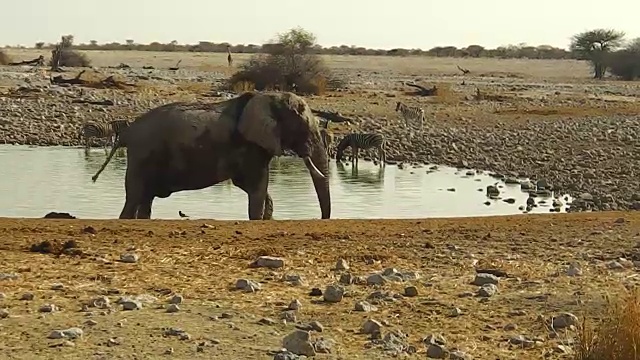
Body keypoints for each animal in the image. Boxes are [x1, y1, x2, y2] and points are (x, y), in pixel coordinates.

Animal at [92, 90, 332, 221]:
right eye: (303, 127)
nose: (321, 219)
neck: (268, 96)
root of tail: (127, 133)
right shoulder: (250, 145)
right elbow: (257, 185)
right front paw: (257, 219)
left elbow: (252, 186)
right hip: (143, 155)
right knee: (135, 196)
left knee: (145, 199)